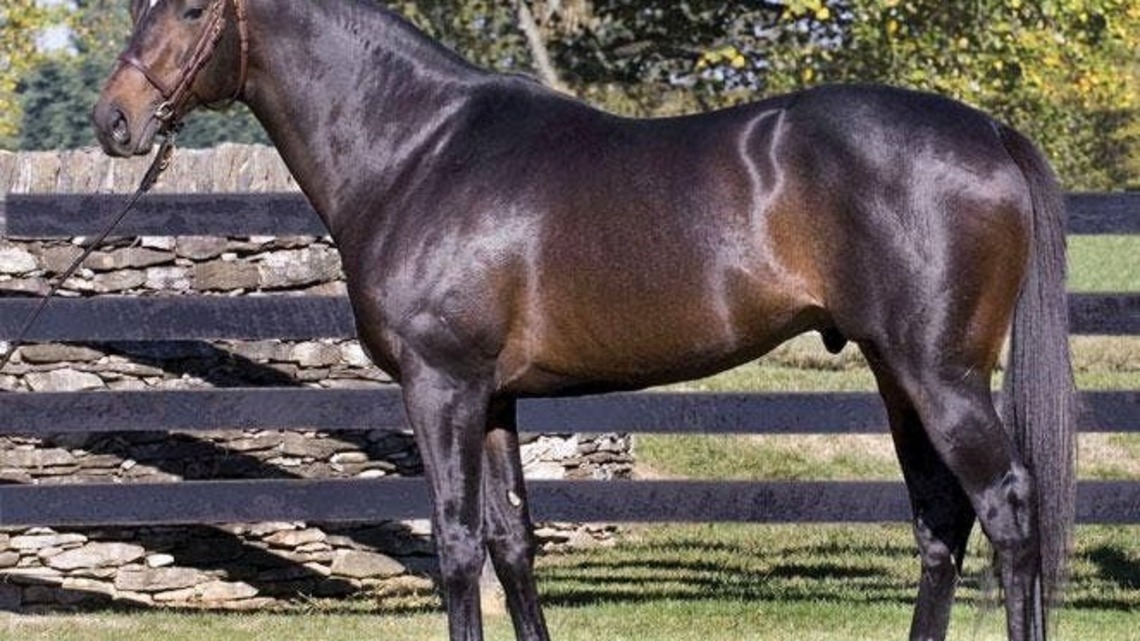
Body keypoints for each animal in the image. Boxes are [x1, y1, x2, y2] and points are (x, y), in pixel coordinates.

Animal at [92, 1, 1076, 639]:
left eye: (189, 7)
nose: (115, 121)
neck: (417, 151)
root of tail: (989, 132)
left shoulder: (440, 386)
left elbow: (456, 545)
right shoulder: (490, 398)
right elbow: (512, 543)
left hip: (940, 375)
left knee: (1008, 509)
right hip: (896, 372)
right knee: (942, 523)